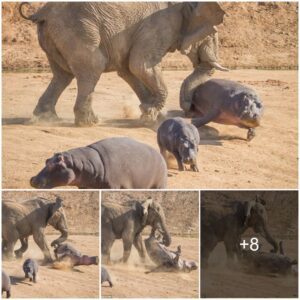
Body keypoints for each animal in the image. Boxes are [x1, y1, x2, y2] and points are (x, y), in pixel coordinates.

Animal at [18, 1, 225, 125]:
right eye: (212, 34)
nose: (189, 110)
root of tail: (41, 12)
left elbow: (128, 69)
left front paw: (151, 114)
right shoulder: (160, 25)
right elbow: (140, 65)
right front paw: (150, 115)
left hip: (52, 35)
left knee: (63, 75)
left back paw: (45, 119)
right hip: (77, 29)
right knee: (93, 67)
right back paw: (91, 122)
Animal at [30, 137, 168, 189]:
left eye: (59, 165)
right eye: (46, 160)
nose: (33, 179)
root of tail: (161, 156)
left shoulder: (114, 186)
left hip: (159, 184)